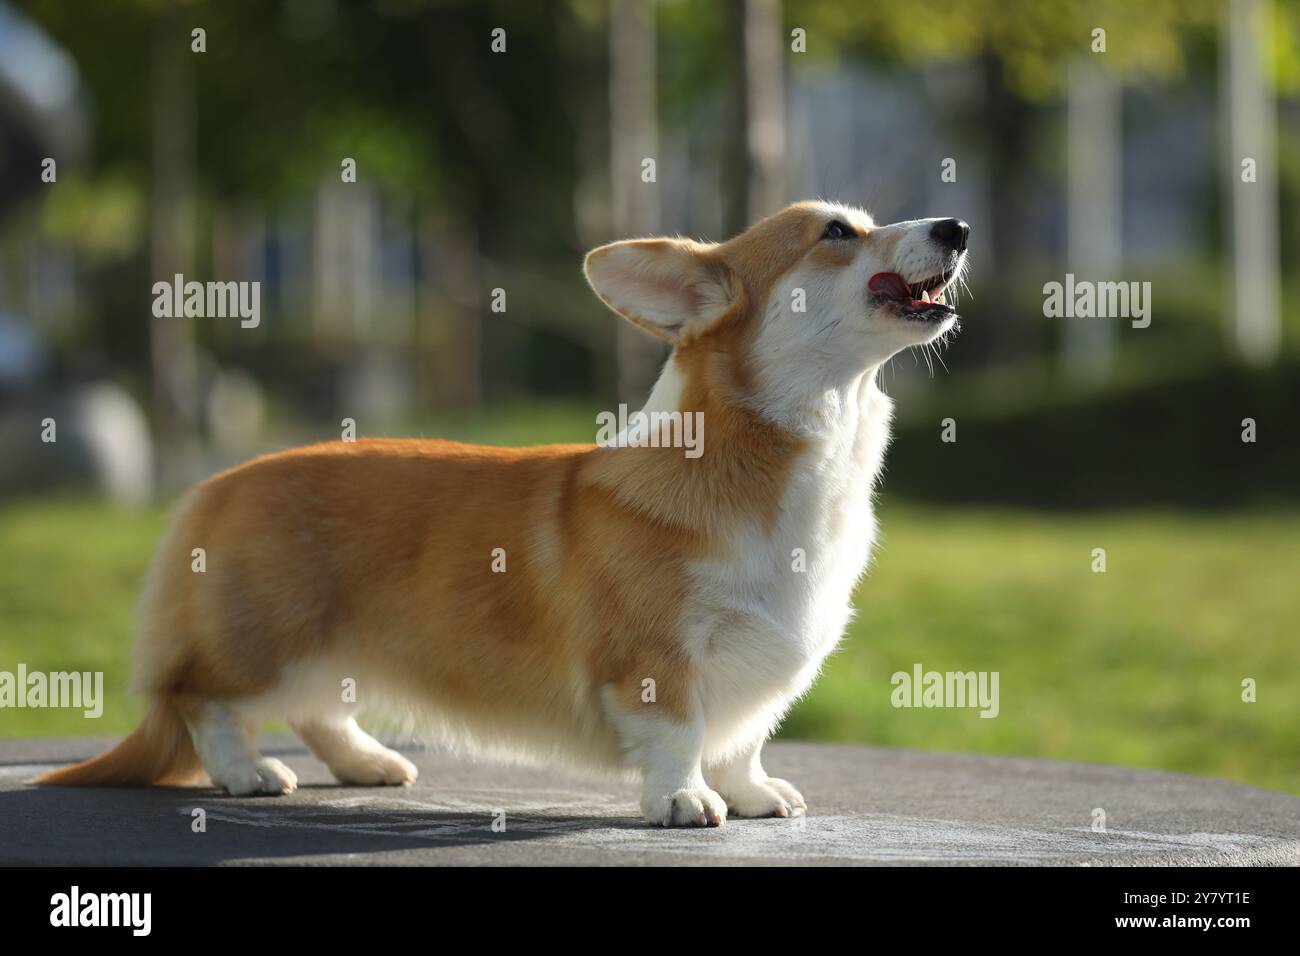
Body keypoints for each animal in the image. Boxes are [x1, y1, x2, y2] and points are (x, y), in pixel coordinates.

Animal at [35, 204, 967, 832]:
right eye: (838, 232)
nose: (957, 226)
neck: (776, 457)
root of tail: (211, 487)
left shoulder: (762, 667)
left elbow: (743, 738)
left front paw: (752, 793)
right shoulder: (657, 660)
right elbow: (682, 733)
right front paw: (684, 798)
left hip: (330, 648)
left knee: (316, 708)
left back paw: (368, 762)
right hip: (268, 640)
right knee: (203, 698)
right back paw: (249, 772)